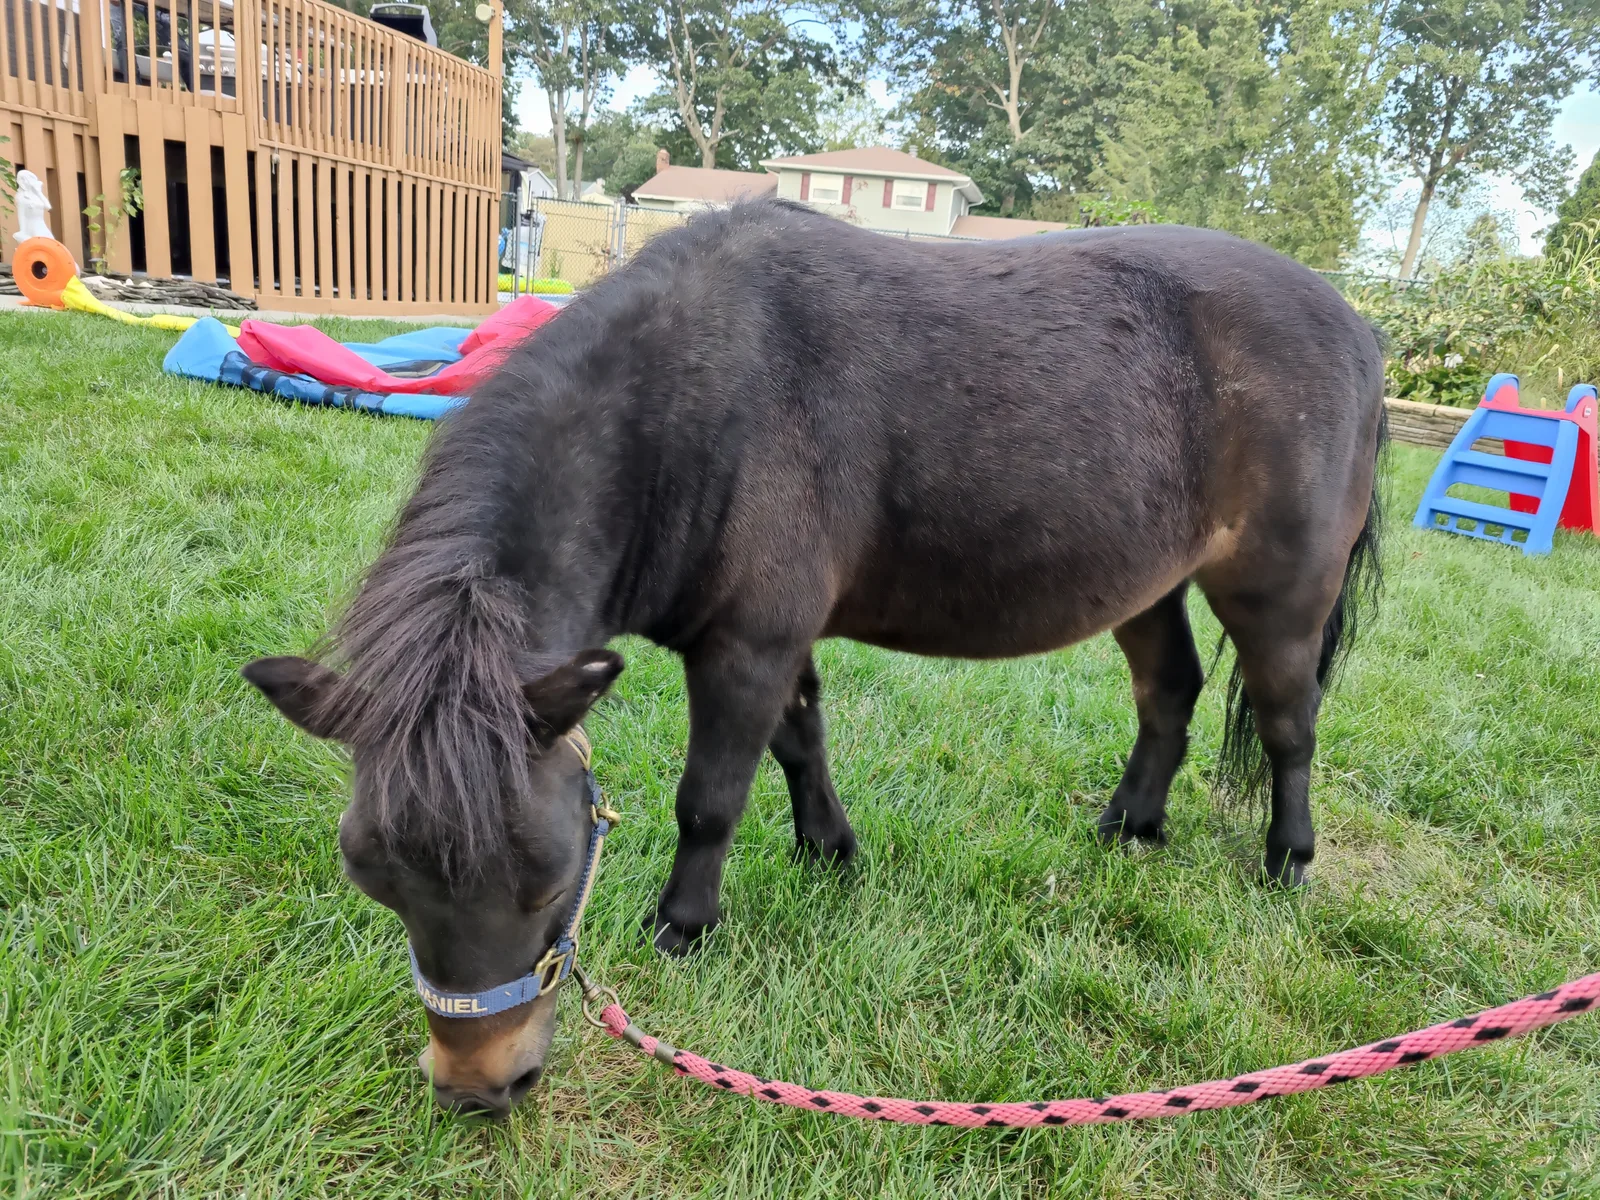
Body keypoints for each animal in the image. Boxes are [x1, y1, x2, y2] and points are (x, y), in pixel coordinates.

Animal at [243, 199, 1385, 1116]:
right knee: (1169, 692)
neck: (690, 401)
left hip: (1279, 594)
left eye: (546, 879)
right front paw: (828, 850)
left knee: (1288, 722)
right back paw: (1130, 827)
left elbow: (711, 797)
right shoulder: (773, 642)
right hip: (1146, 584)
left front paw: (684, 925)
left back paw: (1286, 859)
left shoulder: (746, 646)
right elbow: (800, 744)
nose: (481, 1088)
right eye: (375, 879)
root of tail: (1358, 328)